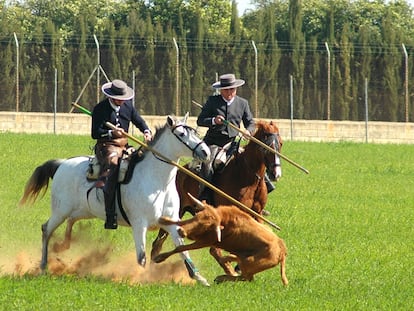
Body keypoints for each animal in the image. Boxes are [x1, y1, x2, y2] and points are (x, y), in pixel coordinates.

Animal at [20, 114, 210, 286]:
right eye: (182, 134)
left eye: (195, 132)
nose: (205, 152)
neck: (158, 182)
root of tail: (62, 164)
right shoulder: (139, 224)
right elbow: (141, 257)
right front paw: (140, 279)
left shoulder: (171, 222)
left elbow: (182, 249)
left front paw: (199, 278)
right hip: (61, 210)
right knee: (46, 229)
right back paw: (43, 265)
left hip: (83, 210)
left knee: (71, 221)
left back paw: (62, 246)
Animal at [150, 120, 284, 276]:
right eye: (265, 147)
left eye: (281, 144)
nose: (276, 174)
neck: (248, 176)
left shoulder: (256, 213)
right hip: (177, 210)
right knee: (159, 241)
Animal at [153, 197, 288, 286]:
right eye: (196, 216)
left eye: (205, 225)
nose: (181, 232)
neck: (224, 220)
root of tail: (282, 251)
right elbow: (180, 222)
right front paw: (164, 219)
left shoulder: (205, 242)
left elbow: (181, 248)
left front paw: (159, 258)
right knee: (245, 273)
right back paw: (228, 259)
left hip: (250, 263)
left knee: (246, 277)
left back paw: (220, 277)